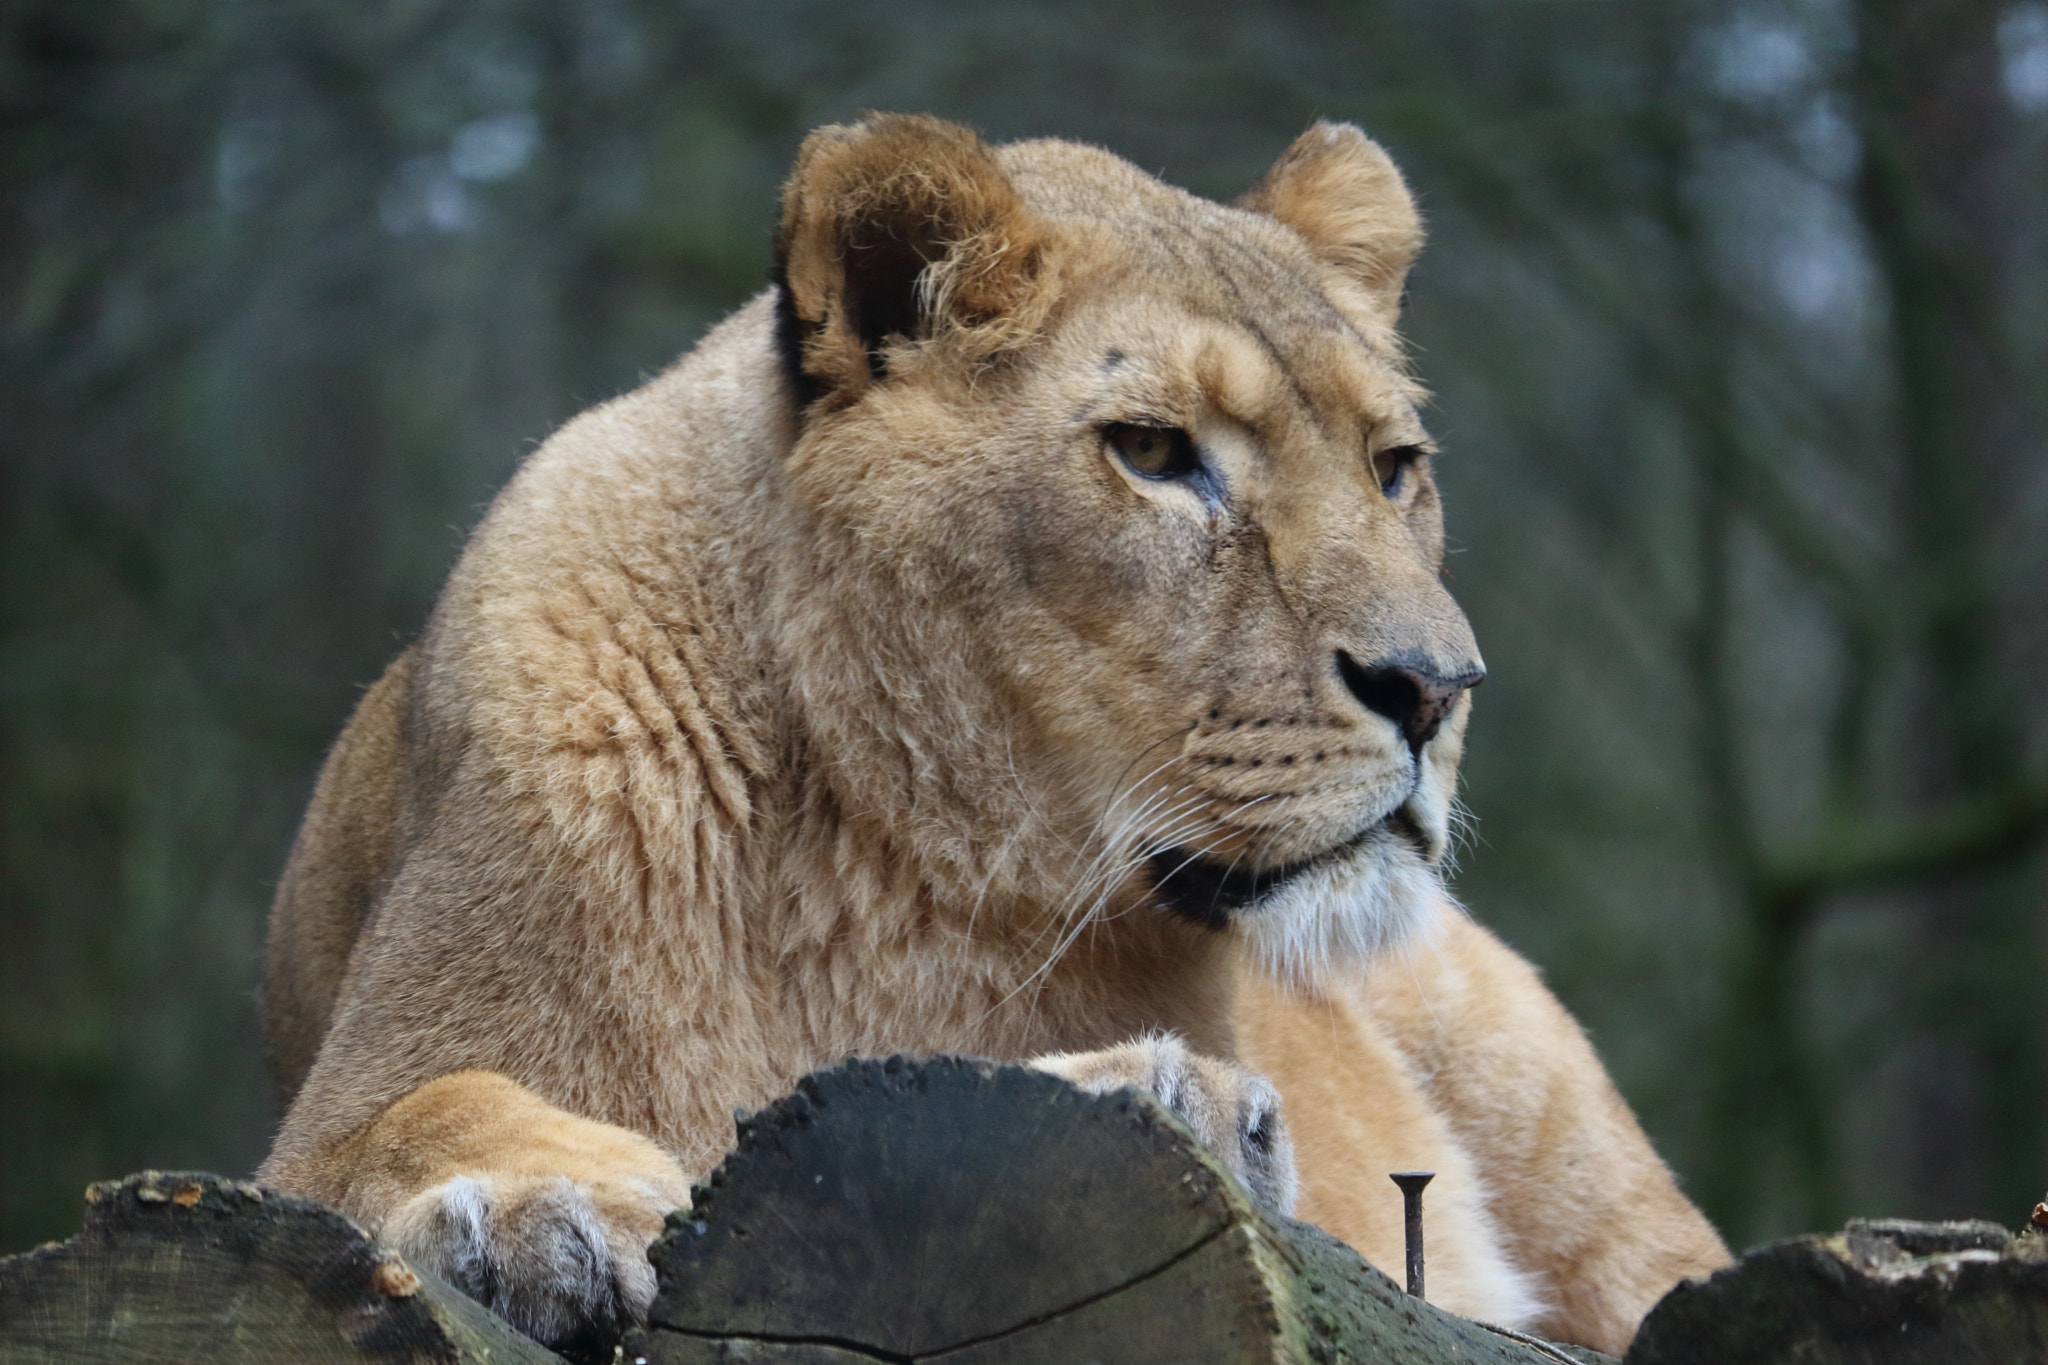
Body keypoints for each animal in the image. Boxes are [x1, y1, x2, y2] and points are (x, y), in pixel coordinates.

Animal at [257, 113, 1729, 1358]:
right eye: (1153, 451)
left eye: (1393, 468)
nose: (1435, 686)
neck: (900, 862)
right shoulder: (331, 1107)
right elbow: (401, 1123)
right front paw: (535, 1206)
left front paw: (1169, 1097)